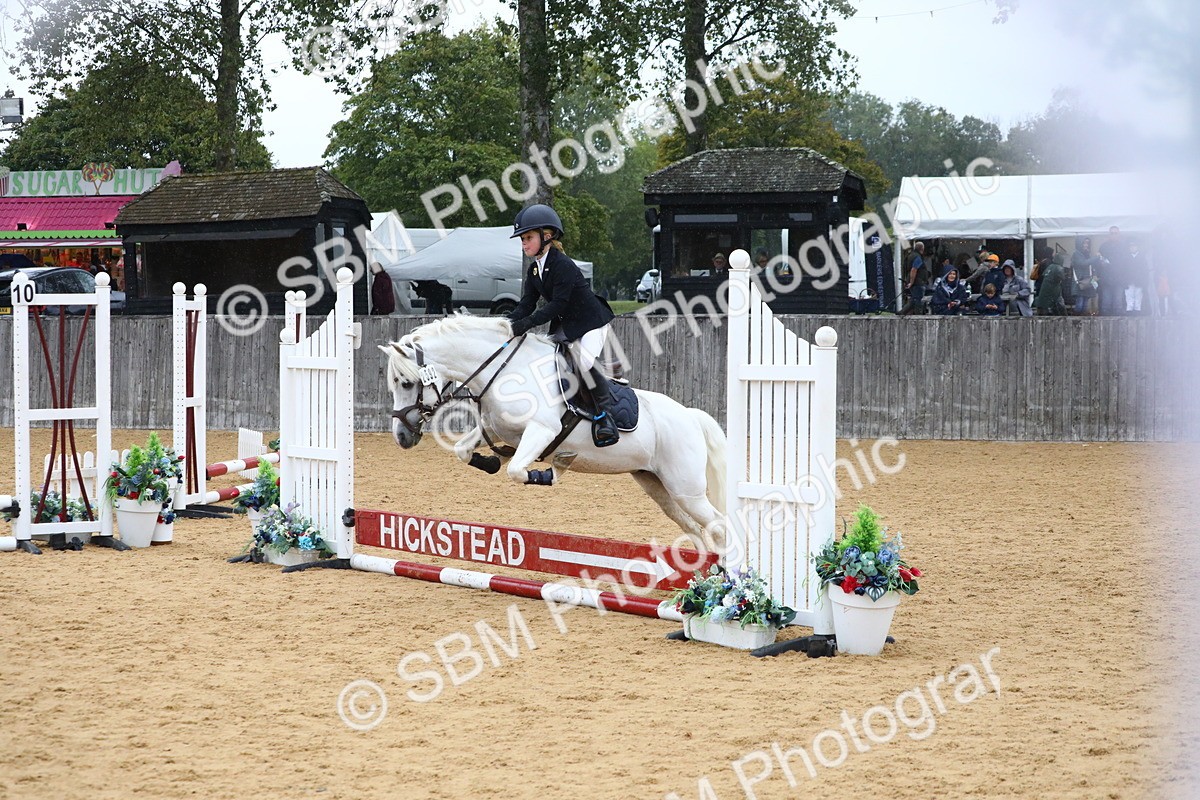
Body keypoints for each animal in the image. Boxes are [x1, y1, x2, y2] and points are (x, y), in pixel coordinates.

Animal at [379, 315, 727, 540]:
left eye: (407, 383)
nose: (401, 437)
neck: (506, 371)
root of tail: (691, 416)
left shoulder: (542, 431)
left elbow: (517, 470)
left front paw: (549, 472)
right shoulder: (498, 430)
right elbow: (465, 451)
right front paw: (491, 461)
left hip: (685, 488)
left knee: (718, 525)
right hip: (655, 483)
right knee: (693, 527)